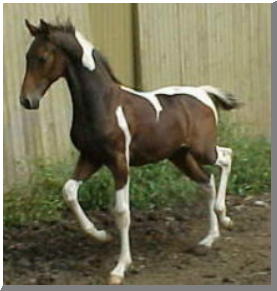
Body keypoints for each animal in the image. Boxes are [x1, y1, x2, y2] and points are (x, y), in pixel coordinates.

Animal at [19, 20, 239, 286]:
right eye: (27, 56)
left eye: (42, 57)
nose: (27, 100)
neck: (104, 103)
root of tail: (203, 93)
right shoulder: (91, 158)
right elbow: (69, 191)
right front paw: (100, 235)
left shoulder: (119, 162)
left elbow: (122, 213)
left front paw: (120, 268)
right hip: (181, 156)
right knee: (207, 181)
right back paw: (208, 239)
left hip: (202, 150)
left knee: (226, 157)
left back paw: (224, 217)